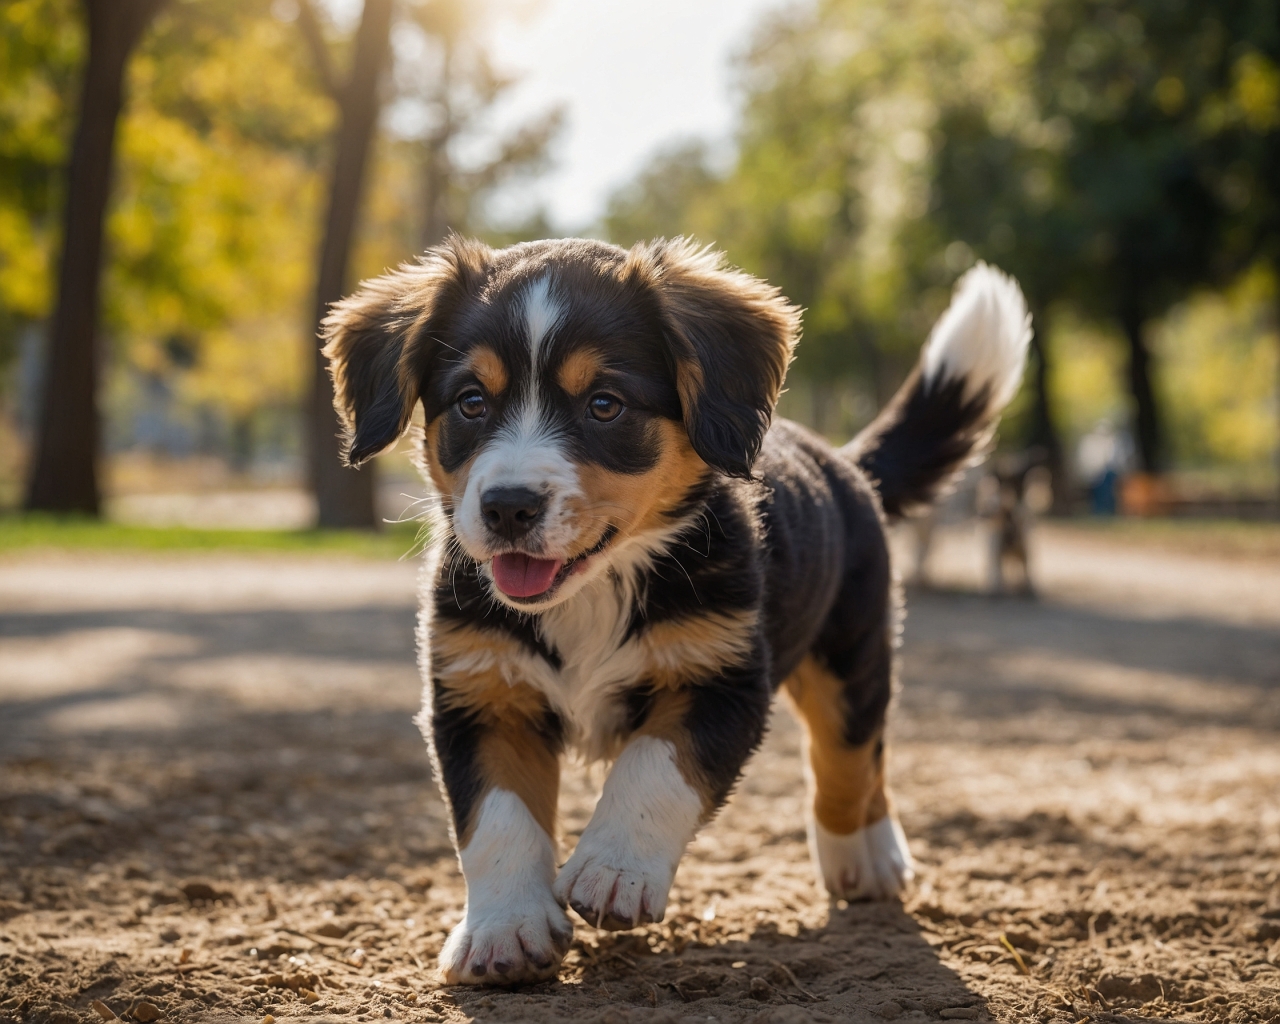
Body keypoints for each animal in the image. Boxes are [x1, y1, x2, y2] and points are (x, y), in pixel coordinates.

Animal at [320, 238, 1029, 983]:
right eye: (471, 402)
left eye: (604, 405)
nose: (508, 506)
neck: (595, 590)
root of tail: (843, 463)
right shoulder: (480, 696)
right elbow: (497, 819)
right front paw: (503, 928)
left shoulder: (720, 679)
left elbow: (652, 769)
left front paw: (613, 871)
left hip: (852, 653)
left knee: (852, 756)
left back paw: (867, 855)